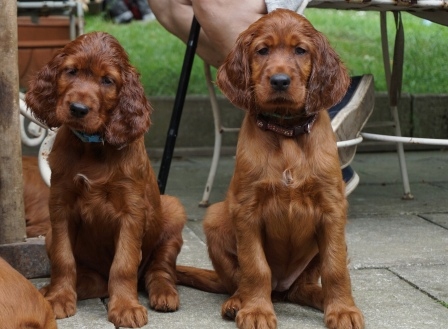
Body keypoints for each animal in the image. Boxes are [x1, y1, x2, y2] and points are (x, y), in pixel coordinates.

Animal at [25, 31, 186, 328]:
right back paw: (50, 290)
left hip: (173, 211)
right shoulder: (60, 205)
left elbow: (123, 264)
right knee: (95, 281)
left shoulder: (132, 211)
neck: (92, 145)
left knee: (160, 269)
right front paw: (58, 298)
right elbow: (64, 259)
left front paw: (125, 307)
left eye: (107, 80)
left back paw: (164, 294)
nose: (78, 108)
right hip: (51, 235)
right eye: (71, 71)